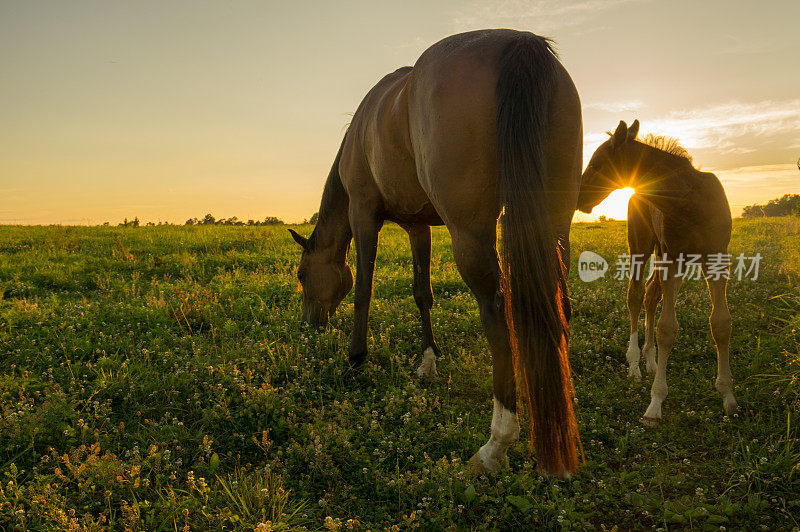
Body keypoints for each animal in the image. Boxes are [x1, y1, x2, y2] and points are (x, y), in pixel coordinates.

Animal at [288, 30, 580, 474]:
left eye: (302, 275)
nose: (309, 325)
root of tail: (519, 42)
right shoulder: (417, 227)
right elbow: (421, 293)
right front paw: (429, 360)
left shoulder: (363, 214)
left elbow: (363, 290)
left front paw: (356, 359)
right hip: (555, 223)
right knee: (557, 302)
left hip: (470, 232)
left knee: (496, 309)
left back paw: (496, 443)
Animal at [576, 119, 736, 424]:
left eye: (597, 163)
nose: (578, 198)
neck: (689, 201)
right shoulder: (674, 260)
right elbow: (667, 329)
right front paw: (655, 403)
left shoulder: (716, 258)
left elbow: (720, 323)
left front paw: (728, 397)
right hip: (641, 245)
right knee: (636, 295)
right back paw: (635, 364)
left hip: (661, 254)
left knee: (651, 294)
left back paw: (650, 360)